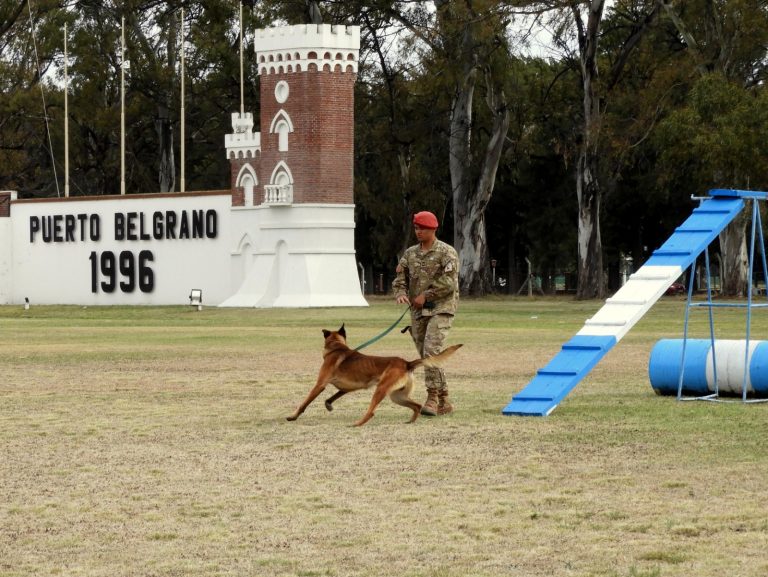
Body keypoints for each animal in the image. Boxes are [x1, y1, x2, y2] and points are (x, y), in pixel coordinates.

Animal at [284, 324, 460, 428]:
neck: (337, 347)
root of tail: (406, 363)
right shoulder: (346, 389)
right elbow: (331, 397)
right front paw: (329, 405)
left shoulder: (319, 385)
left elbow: (304, 403)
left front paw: (293, 416)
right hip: (397, 396)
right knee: (416, 405)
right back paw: (410, 421)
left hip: (381, 389)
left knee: (371, 412)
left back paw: (356, 423)